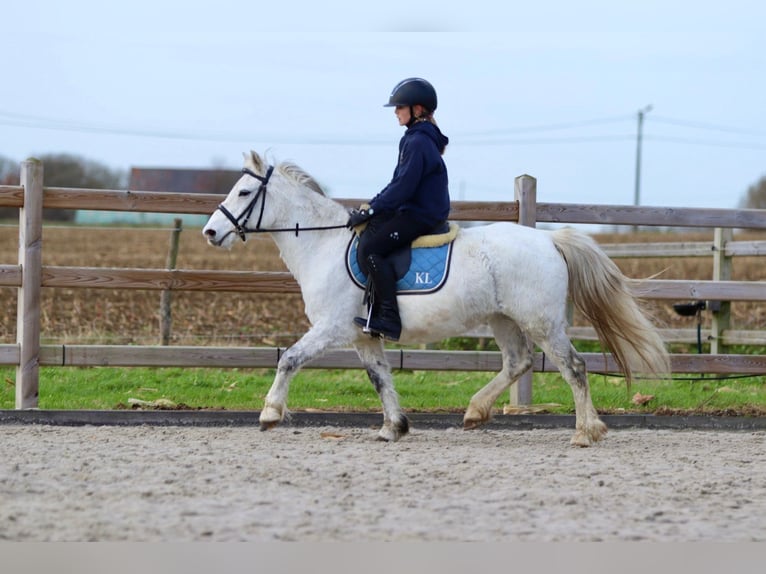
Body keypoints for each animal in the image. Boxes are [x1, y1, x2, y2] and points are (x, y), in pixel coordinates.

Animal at [204, 151, 672, 448]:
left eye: (243, 193)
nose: (210, 232)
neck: (324, 246)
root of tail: (548, 240)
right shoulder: (363, 336)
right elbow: (380, 379)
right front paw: (394, 427)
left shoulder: (331, 328)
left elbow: (289, 359)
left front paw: (269, 414)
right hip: (503, 319)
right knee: (517, 362)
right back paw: (476, 412)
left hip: (541, 322)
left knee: (573, 366)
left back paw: (585, 432)